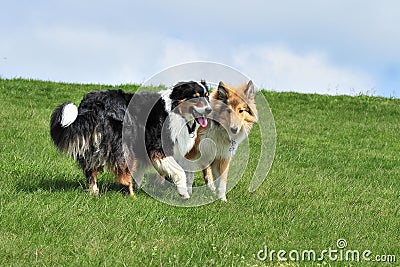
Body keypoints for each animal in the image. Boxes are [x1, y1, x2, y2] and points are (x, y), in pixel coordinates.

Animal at [50, 81, 211, 199]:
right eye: (196, 96)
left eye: (207, 96)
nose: (209, 110)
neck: (173, 109)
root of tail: (92, 104)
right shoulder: (157, 147)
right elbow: (179, 171)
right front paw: (184, 194)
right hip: (123, 143)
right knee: (122, 173)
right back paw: (132, 196)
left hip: (95, 144)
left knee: (91, 170)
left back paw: (95, 193)